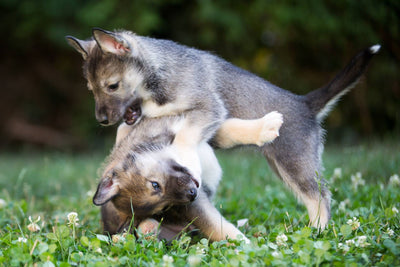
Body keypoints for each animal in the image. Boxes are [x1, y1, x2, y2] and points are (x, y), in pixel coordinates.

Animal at [67, 29, 380, 230]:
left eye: (112, 86)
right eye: (91, 89)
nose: (101, 120)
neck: (157, 77)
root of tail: (305, 103)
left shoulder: (208, 108)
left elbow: (185, 135)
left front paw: (183, 154)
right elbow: (131, 132)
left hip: (295, 164)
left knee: (320, 198)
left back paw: (318, 231)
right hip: (284, 167)